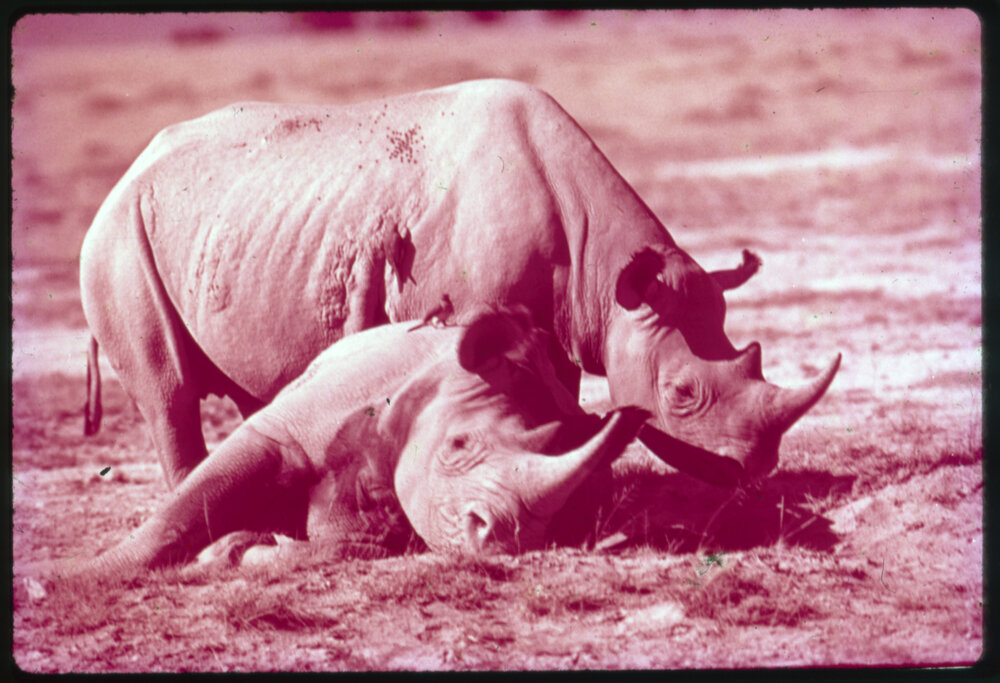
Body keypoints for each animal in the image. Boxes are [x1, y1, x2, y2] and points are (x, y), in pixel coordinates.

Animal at [79, 308, 649, 572]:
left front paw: (251, 551)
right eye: (458, 447)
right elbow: (186, 508)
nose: (502, 539)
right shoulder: (287, 428)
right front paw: (80, 577)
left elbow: (345, 541)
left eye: (558, 521)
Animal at [80, 78, 840, 491]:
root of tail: (129, 170)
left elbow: (560, 402)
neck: (604, 277)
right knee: (169, 391)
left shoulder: (558, 317)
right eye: (681, 395)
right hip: (117, 235)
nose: (751, 470)